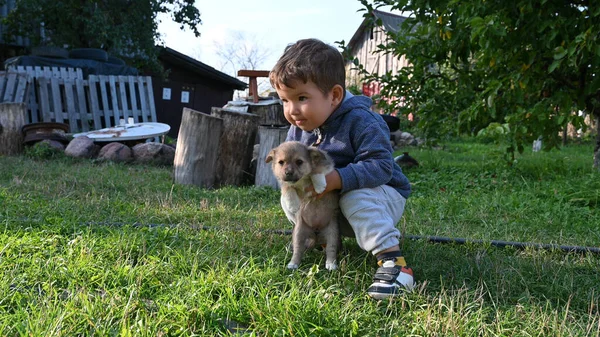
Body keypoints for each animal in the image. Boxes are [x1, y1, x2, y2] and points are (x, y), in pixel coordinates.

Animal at [264, 140, 340, 270]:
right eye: (281, 162)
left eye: (299, 162)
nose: (288, 173)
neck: (301, 180)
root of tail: (316, 232)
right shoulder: (284, 182)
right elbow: (287, 188)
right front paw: (292, 204)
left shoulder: (327, 166)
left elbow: (315, 170)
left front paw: (320, 186)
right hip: (299, 235)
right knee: (298, 251)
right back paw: (293, 264)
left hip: (332, 234)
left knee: (331, 250)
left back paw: (331, 264)